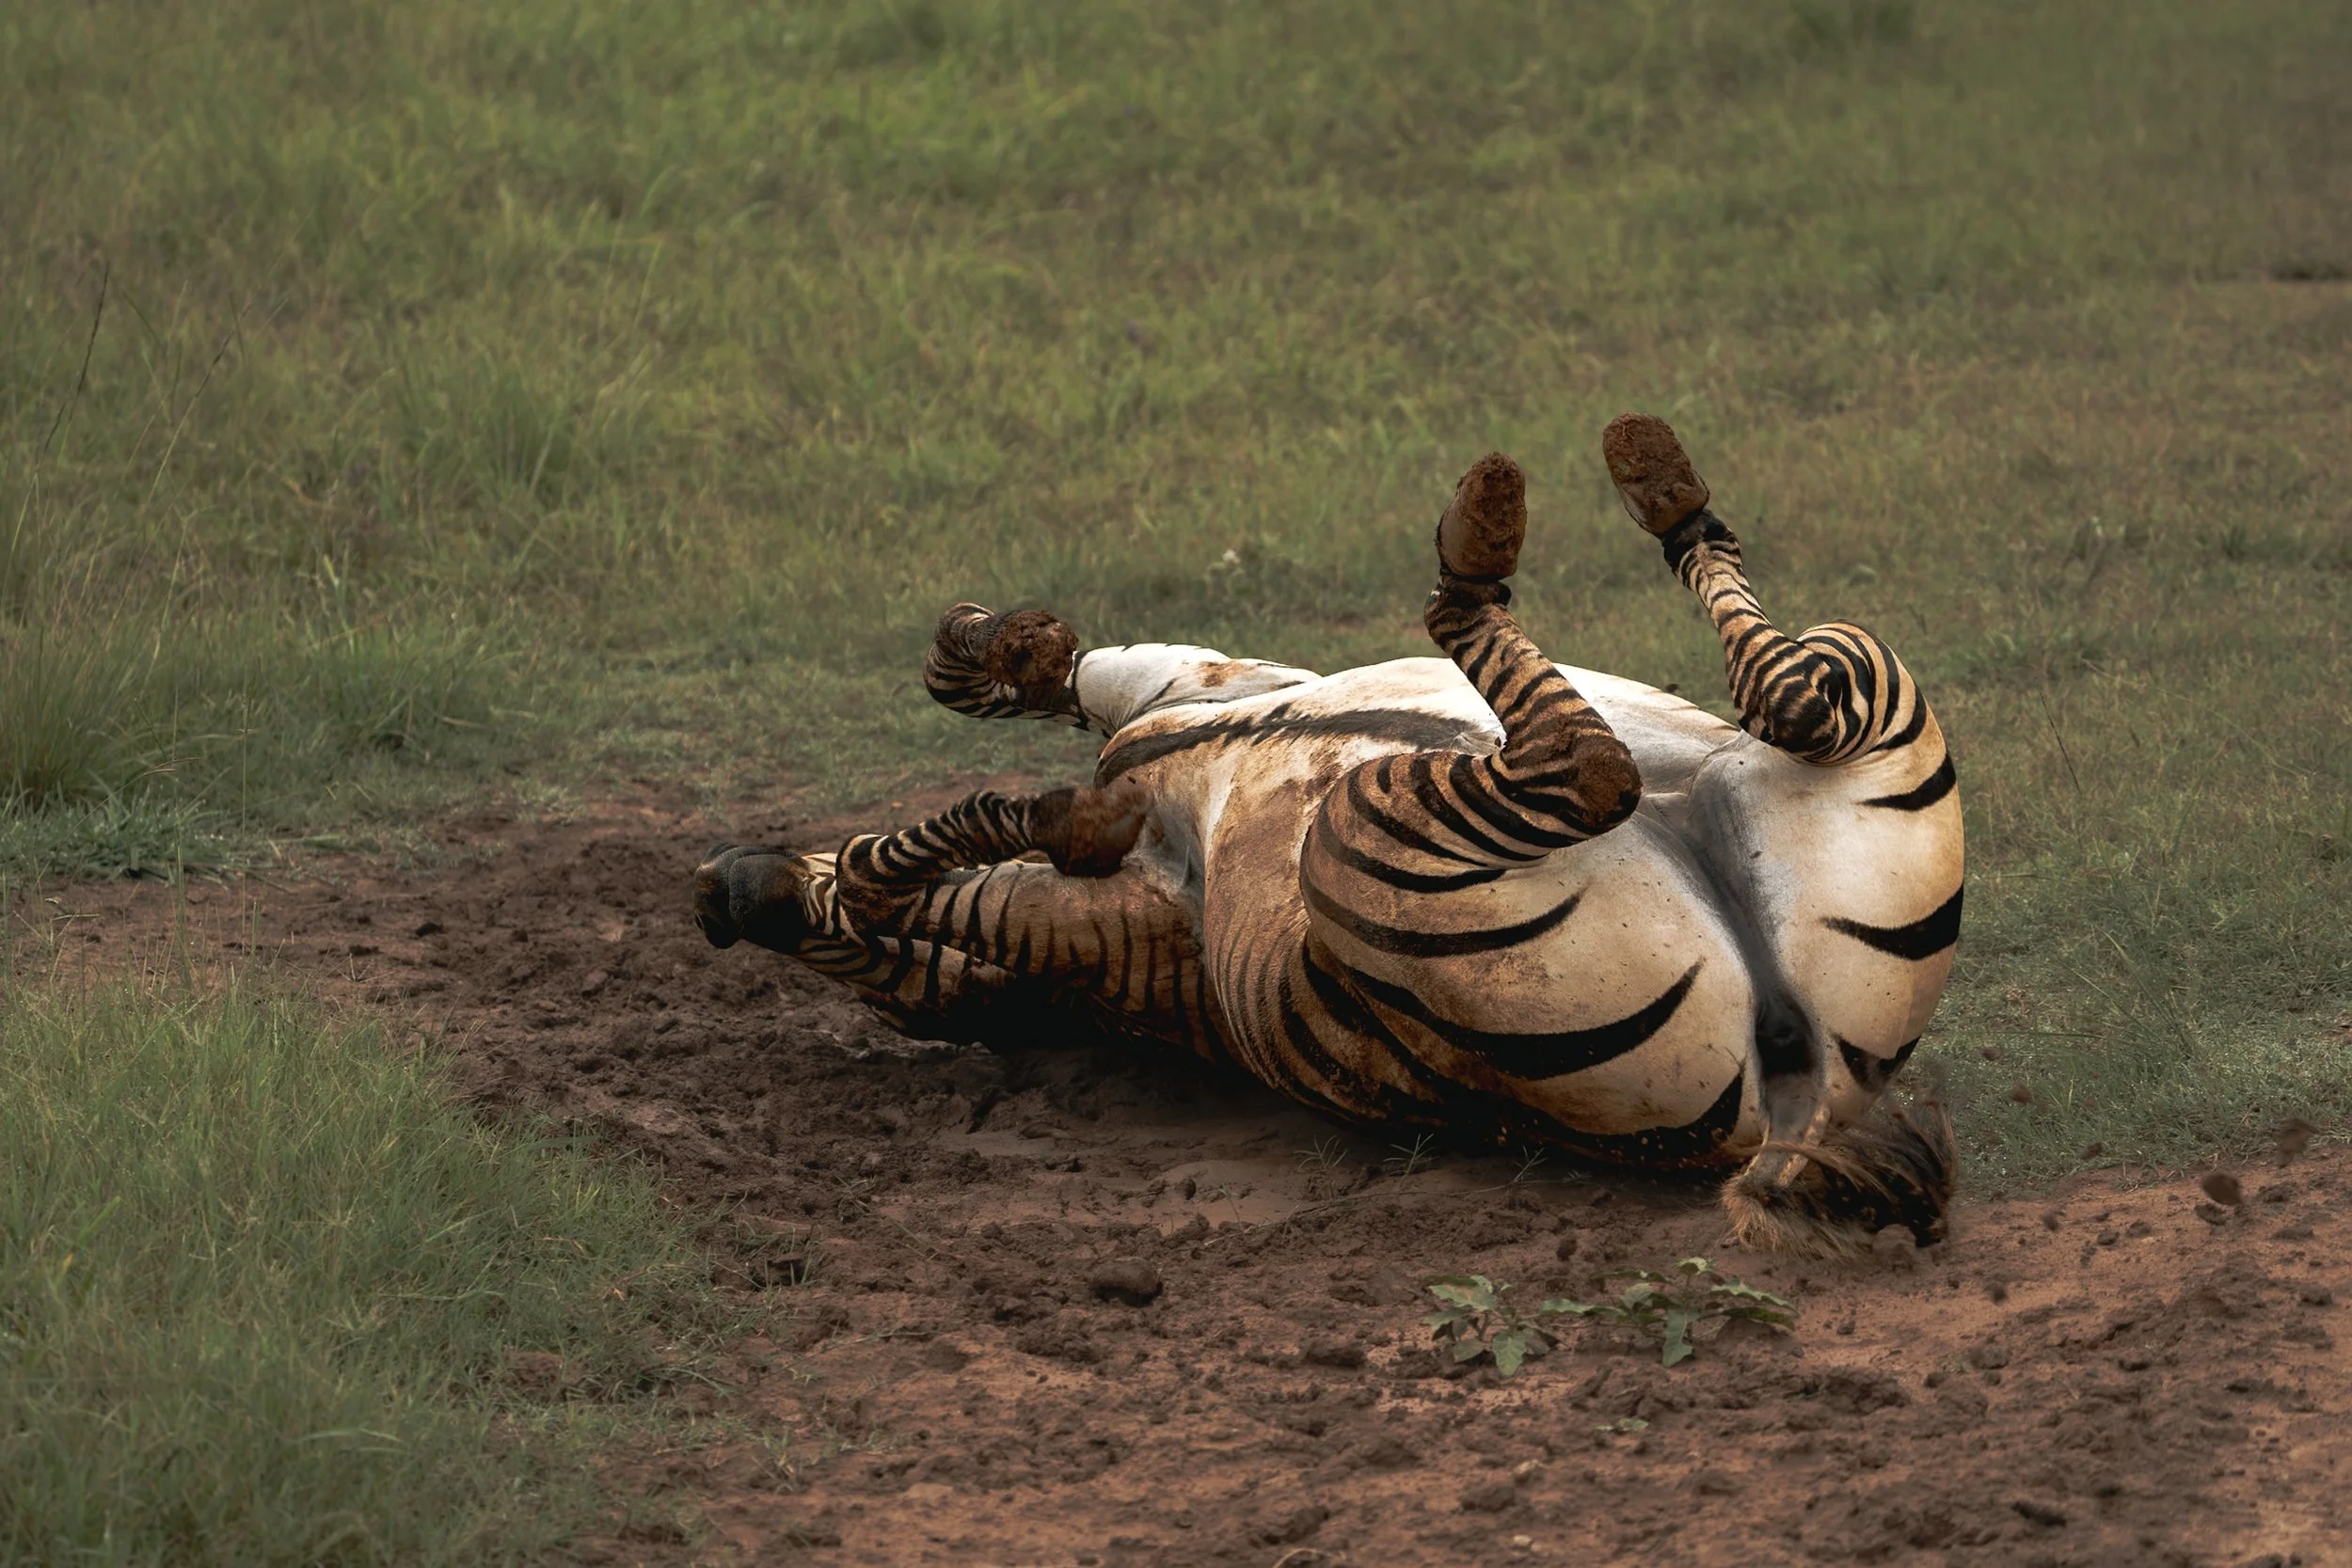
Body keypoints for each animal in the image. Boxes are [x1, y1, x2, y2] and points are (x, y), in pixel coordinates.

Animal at [694, 415, 1963, 1253]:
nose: (712, 894)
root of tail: (1810, 1108)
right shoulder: (1117, 901)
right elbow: (936, 860)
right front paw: (1048, 804)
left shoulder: (1190, 683)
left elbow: (1011, 703)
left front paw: (989, 660)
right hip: (1379, 839)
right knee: (1639, 750)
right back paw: (1534, 527)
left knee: (1715, 720)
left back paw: (1606, 495)